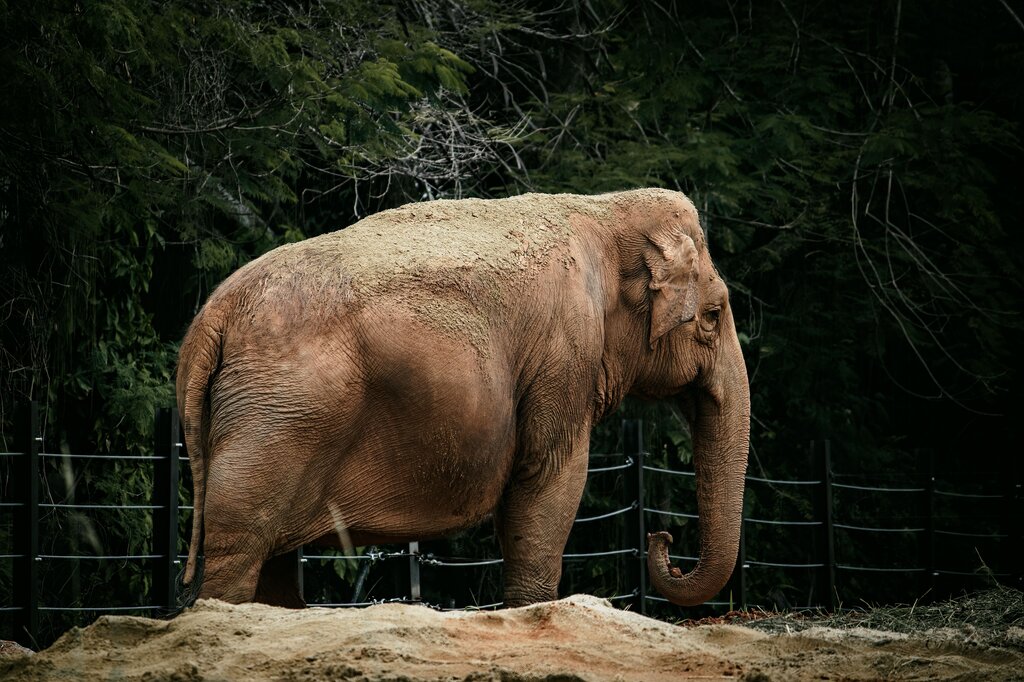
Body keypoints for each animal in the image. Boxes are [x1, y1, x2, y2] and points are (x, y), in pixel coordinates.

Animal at [175, 188, 750, 609]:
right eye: (714, 315)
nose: (665, 539)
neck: (606, 209)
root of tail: (213, 314)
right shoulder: (564, 350)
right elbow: (548, 480)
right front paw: (531, 610)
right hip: (278, 418)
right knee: (240, 544)